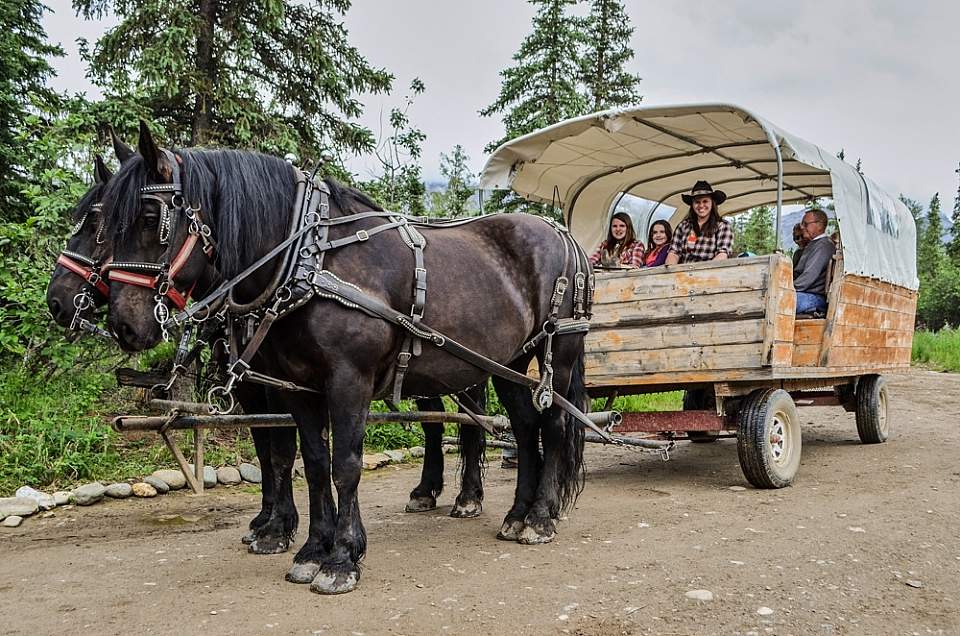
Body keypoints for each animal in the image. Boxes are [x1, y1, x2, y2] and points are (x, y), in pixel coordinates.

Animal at [47, 145, 488, 556]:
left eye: (101, 226)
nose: (57, 302)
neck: (297, 262)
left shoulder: (280, 383)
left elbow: (283, 450)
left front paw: (281, 528)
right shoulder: (260, 384)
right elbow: (269, 452)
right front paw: (270, 522)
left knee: (468, 420)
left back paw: (467, 496)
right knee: (439, 422)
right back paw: (430, 490)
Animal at [101, 126, 588, 592]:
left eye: (150, 219)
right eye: (106, 222)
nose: (122, 323)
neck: (309, 259)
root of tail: (562, 234)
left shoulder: (348, 380)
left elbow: (344, 466)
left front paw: (341, 558)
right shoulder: (297, 387)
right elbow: (314, 464)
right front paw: (312, 549)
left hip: (556, 357)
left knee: (554, 425)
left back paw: (539, 517)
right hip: (509, 364)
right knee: (524, 427)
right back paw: (518, 513)